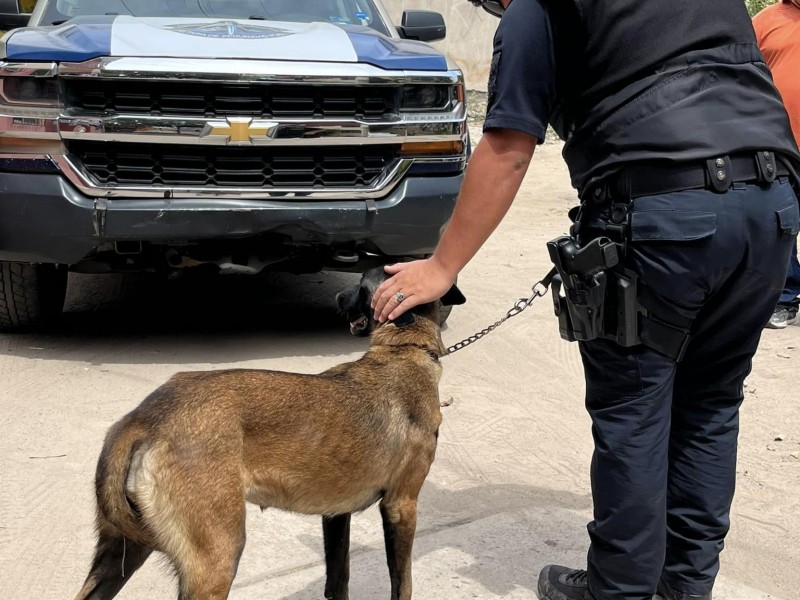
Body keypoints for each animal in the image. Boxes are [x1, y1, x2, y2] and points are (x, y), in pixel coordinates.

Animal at [75, 268, 466, 600]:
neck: (403, 350)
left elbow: (338, 581)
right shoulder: (401, 506)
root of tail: (145, 417)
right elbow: (403, 584)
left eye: (358, 286)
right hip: (216, 557)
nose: (337, 297)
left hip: (122, 550)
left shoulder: (336, 515)